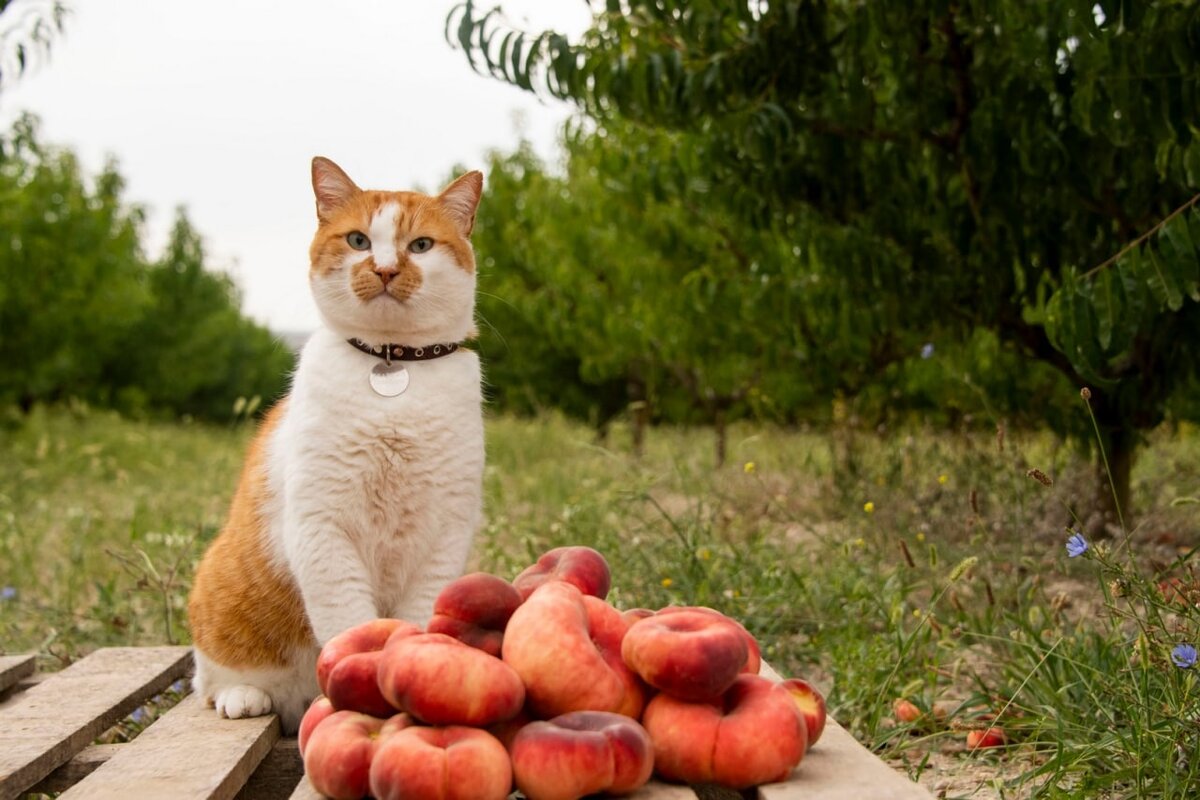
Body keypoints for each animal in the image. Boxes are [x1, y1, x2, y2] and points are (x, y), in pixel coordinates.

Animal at [187, 155, 487, 734]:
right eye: (357, 240)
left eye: (420, 245)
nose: (386, 269)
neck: (393, 367)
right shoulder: (324, 529)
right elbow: (349, 625)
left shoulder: (443, 536)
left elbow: (418, 617)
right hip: (217, 594)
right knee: (206, 682)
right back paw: (243, 696)